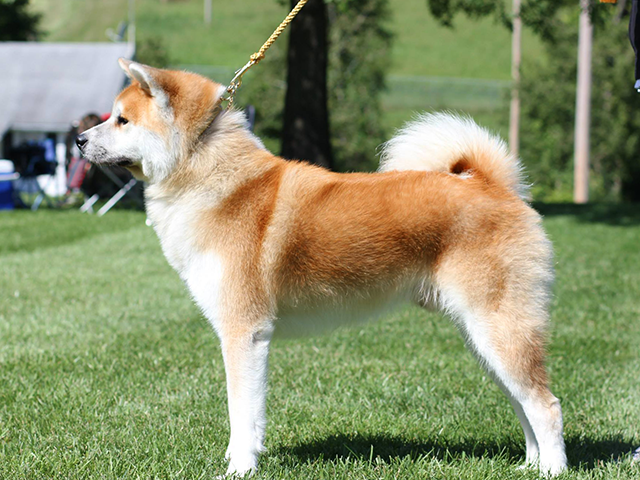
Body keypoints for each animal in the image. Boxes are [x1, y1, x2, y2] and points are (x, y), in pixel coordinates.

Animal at [77, 60, 568, 476]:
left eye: (122, 120)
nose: (79, 140)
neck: (208, 177)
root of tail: (494, 186)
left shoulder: (243, 332)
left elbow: (242, 415)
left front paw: (239, 470)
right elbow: (245, 419)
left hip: (498, 327)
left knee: (545, 405)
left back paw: (553, 470)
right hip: (481, 335)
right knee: (522, 403)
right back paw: (530, 466)